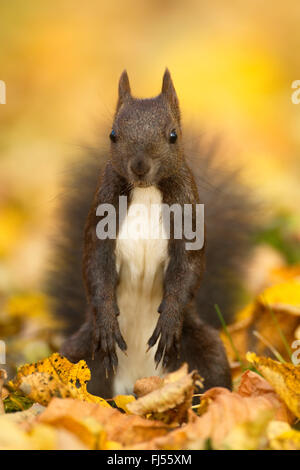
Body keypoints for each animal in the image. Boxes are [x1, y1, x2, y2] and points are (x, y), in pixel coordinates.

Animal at [48, 69, 254, 396]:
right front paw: (107, 323)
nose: (140, 166)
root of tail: (136, 386)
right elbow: (96, 269)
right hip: (77, 356)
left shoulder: (187, 223)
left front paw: (168, 321)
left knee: (212, 375)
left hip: (204, 351)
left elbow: (187, 271)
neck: (145, 192)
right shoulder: (100, 223)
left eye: (173, 135)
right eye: (112, 134)